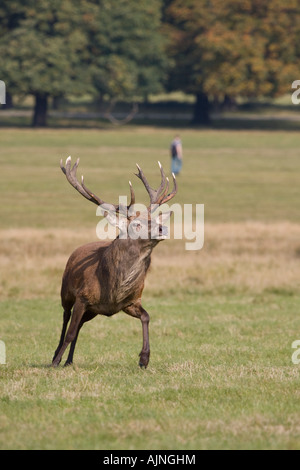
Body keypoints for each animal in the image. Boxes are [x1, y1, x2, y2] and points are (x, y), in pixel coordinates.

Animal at [51, 157, 177, 368]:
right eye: (137, 224)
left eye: (155, 219)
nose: (163, 228)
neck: (113, 288)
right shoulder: (82, 297)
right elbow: (69, 332)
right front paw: (54, 362)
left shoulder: (130, 301)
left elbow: (146, 317)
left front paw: (144, 359)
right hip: (66, 293)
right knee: (66, 320)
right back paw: (56, 356)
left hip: (92, 311)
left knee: (79, 326)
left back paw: (69, 361)